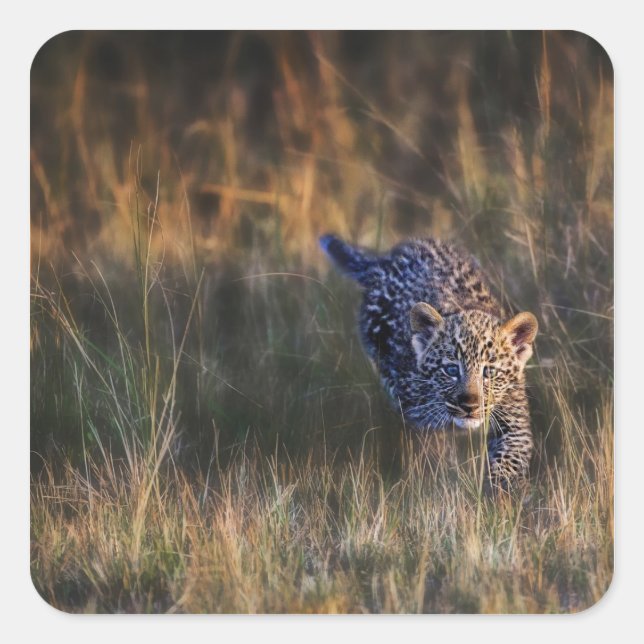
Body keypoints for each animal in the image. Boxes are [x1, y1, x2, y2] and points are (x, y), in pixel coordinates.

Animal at [320, 233, 538, 489]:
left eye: (489, 373)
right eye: (451, 370)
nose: (470, 405)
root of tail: (385, 260)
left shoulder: (514, 420)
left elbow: (509, 459)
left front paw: (502, 492)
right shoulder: (416, 412)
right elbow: (432, 447)